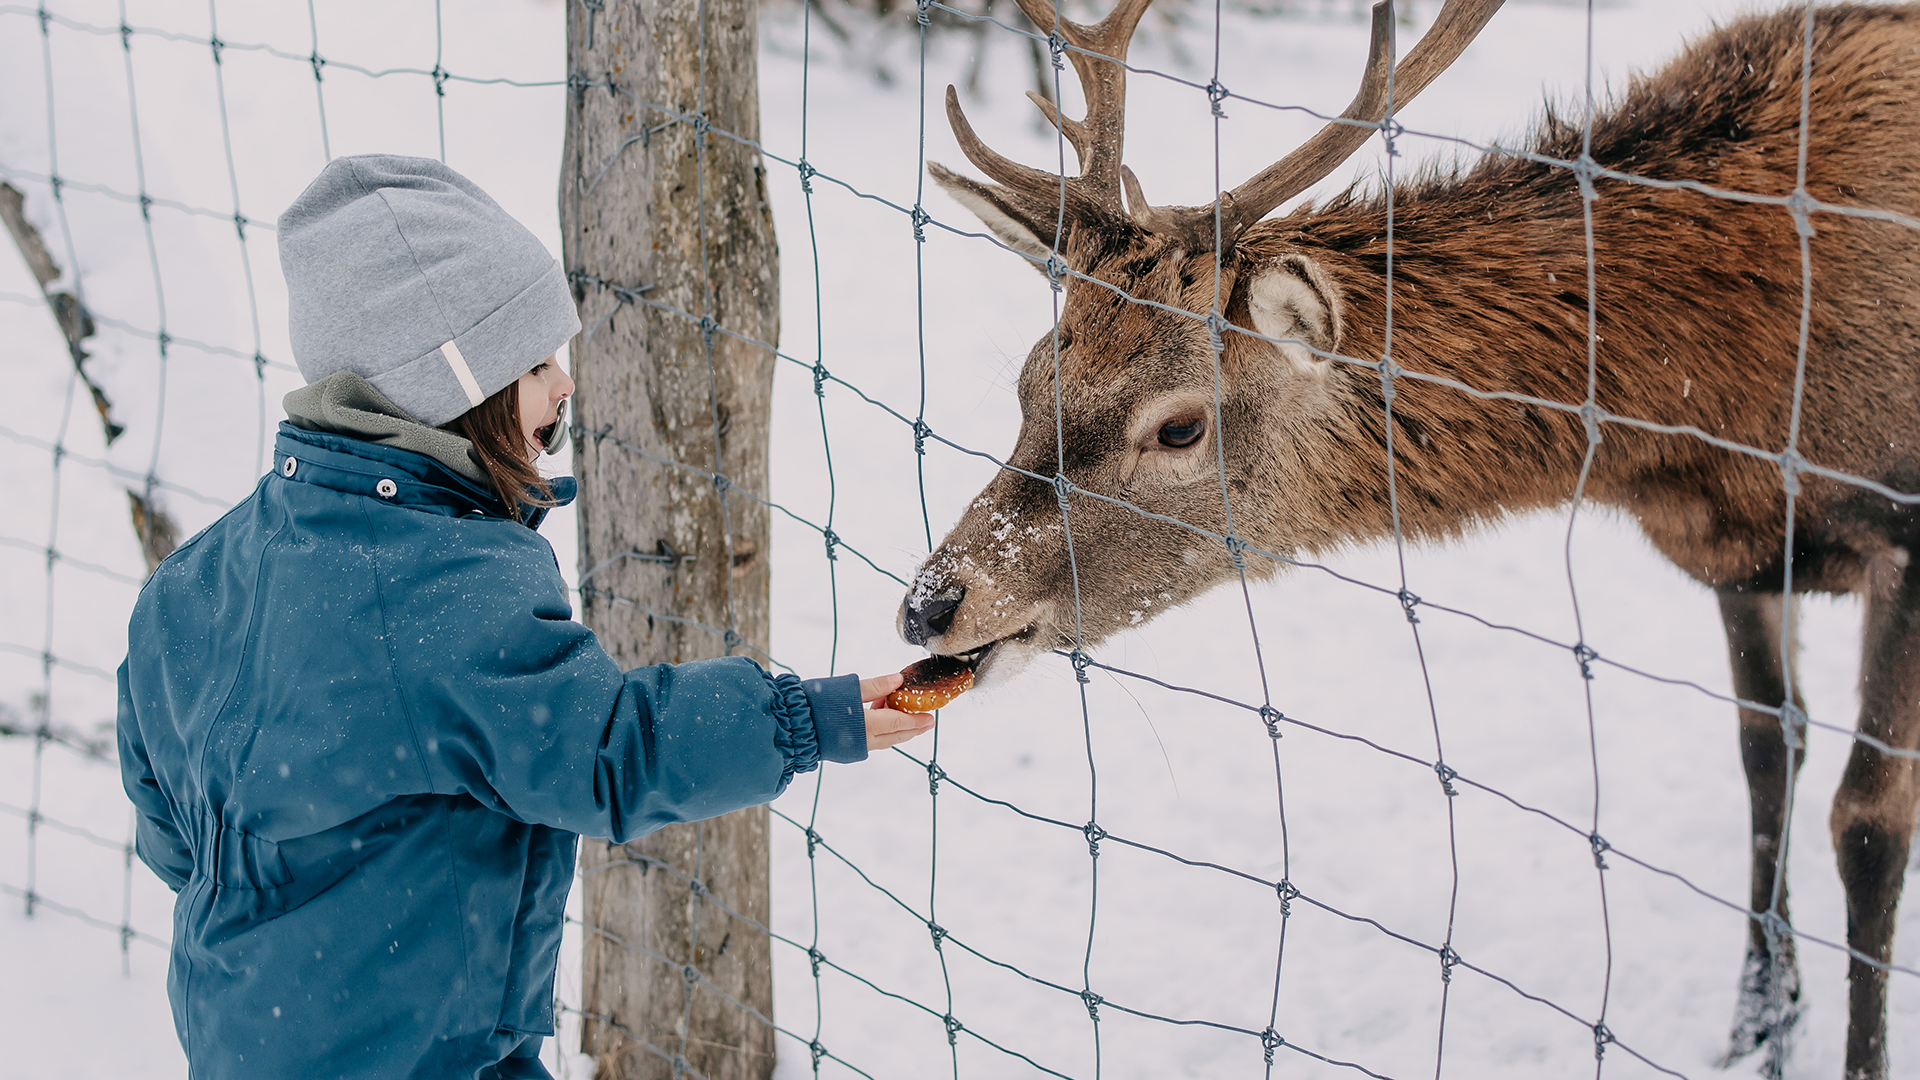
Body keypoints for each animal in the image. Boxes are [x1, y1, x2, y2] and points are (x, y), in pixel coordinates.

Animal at [893, 0, 1920, 1075]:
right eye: (1028, 381)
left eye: (1178, 427)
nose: (933, 602)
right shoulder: (1740, 555)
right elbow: (1768, 758)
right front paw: (1758, 1031)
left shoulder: (1904, 530)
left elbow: (1868, 824)